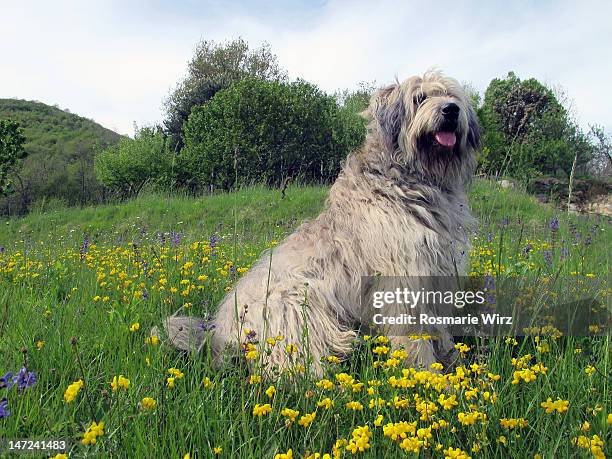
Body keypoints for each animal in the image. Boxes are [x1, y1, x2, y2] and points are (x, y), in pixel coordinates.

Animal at [153, 70, 478, 376]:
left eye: (451, 95)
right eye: (419, 98)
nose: (451, 110)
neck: (411, 179)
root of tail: (218, 335)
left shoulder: (437, 272)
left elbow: (441, 331)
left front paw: (455, 362)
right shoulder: (404, 279)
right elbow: (414, 337)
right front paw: (429, 376)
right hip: (297, 302)